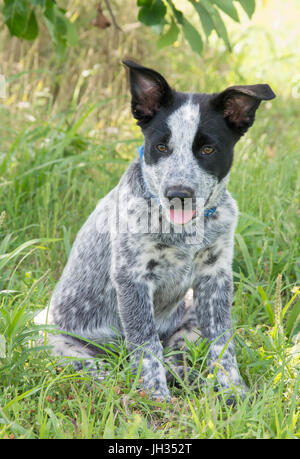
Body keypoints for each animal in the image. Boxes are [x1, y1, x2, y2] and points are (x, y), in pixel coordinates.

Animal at [34, 60, 274, 402]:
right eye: (161, 147)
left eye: (208, 149)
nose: (178, 193)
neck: (186, 230)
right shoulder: (132, 277)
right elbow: (146, 345)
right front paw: (156, 400)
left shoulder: (215, 278)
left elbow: (222, 345)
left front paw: (234, 393)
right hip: (57, 345)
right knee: (109, 369)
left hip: (189, 321)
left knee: (177, 359)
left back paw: (198, 383)